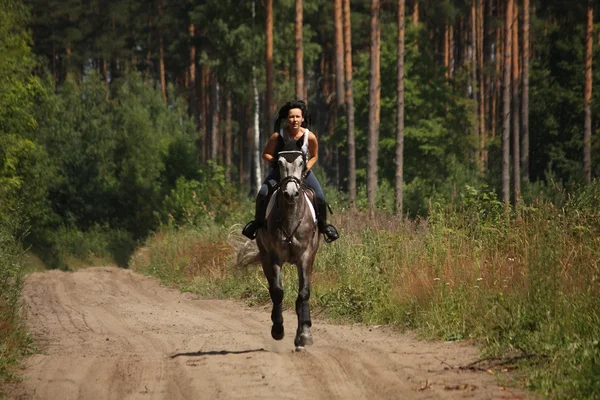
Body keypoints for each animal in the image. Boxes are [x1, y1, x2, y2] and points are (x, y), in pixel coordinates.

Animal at [258, 139, 324, 348]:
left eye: (302, 162)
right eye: (279, 163)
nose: (291, 193)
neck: (290, 216)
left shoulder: (305, 257)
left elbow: (303, 293)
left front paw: (304, 334)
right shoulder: (274, 257)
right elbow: (278, 291)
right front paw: (278, 329)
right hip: (264, 256)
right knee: (272, 288)